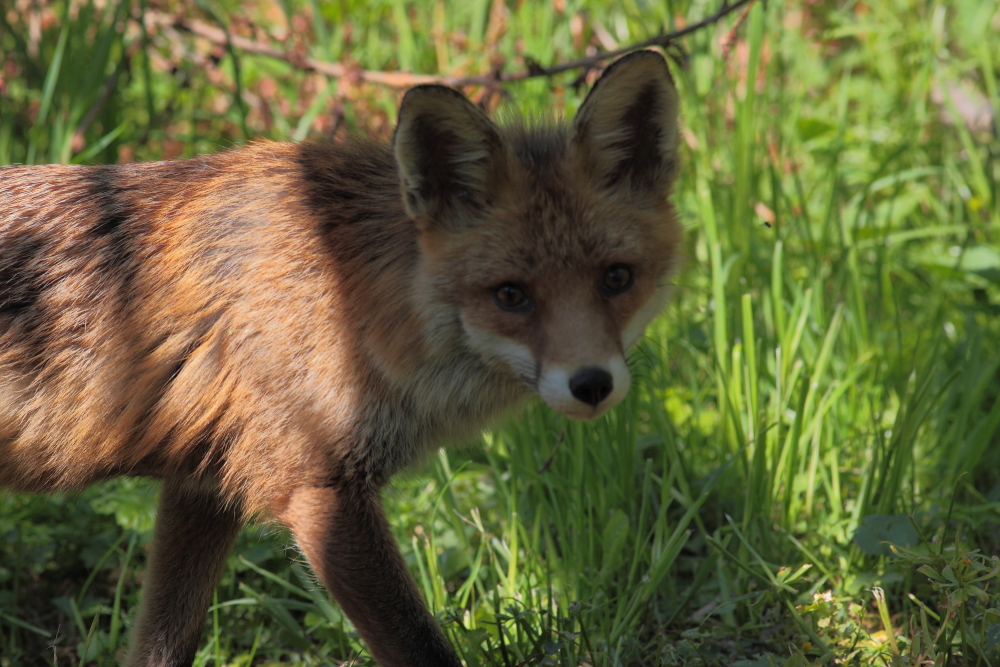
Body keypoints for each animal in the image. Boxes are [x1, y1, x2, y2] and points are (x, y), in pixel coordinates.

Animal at [0, 49, 680, 664]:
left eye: (616, 279)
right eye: (510, 295)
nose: (591, 383)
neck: (356, 302)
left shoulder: (203, 484)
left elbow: (164, 646)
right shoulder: (319, 491)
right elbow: (423, 650)